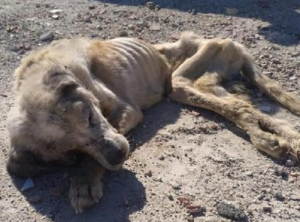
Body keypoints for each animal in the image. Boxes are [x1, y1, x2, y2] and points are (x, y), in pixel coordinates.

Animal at [5, 32, 300, 212]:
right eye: (71, 152)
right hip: (204, 83)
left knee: (234, 105)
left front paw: (84, 180)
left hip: (182, 79)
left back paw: (275, 140)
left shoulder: (126, 111)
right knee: (242, 105)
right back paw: (272, 136)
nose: (119, 155)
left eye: (88, 117)